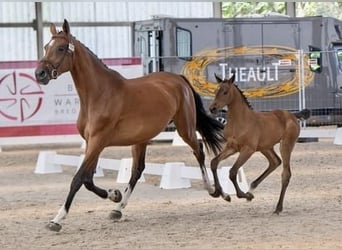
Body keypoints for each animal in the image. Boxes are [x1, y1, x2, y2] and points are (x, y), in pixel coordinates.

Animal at [34, 20, 224, 232]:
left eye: (60, 48)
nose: (40, 74)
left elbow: (78, 179)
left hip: (185, 128)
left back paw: (213, 190)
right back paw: (118, 209)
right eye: (46, 47)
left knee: (198, 150)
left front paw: (57, 219)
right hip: (141, 138)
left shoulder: (98, 141)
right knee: (137, 170)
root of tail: (178, 79)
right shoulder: (92, 142)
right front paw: (114, 195)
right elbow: (88, 179)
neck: (99, 94)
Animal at [208, 73, 310, 214]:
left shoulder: (247, 150)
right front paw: (221, 194)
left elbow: (233, 172)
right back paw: (252, 188)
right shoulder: (231, 147)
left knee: (285, 173)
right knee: (275, 162)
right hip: (265, 147)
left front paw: (243, 195)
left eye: (225, 91)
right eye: (215, 91)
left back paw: (278, 207)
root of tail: (292, 115)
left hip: (286, 145)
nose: (212, 108)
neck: (240, 121)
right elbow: (214, 163)